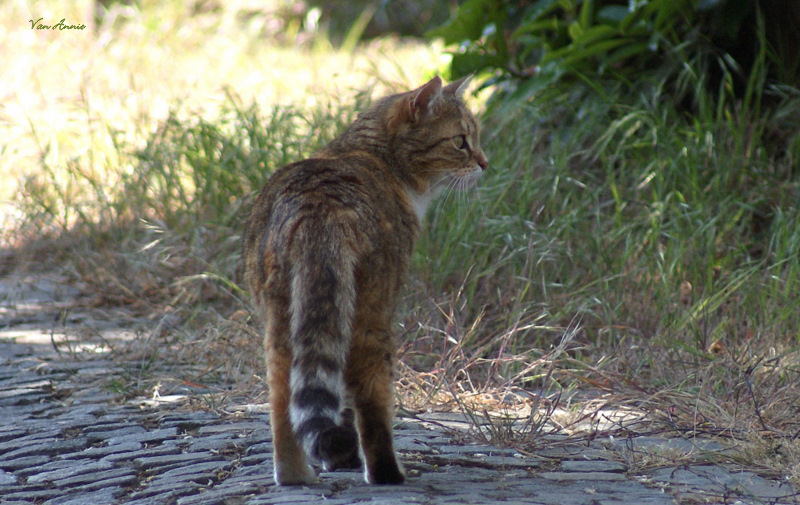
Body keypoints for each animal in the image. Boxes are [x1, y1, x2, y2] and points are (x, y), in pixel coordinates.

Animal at [241, 76, 488, 484]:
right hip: (373, 315)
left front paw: (340, 458)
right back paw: (387, 473)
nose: (485, 163)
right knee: (372, 401)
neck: (369, 154)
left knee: (283, 399)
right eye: (461, 141)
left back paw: (295, 477)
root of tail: (319, 206)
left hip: (283, 320)